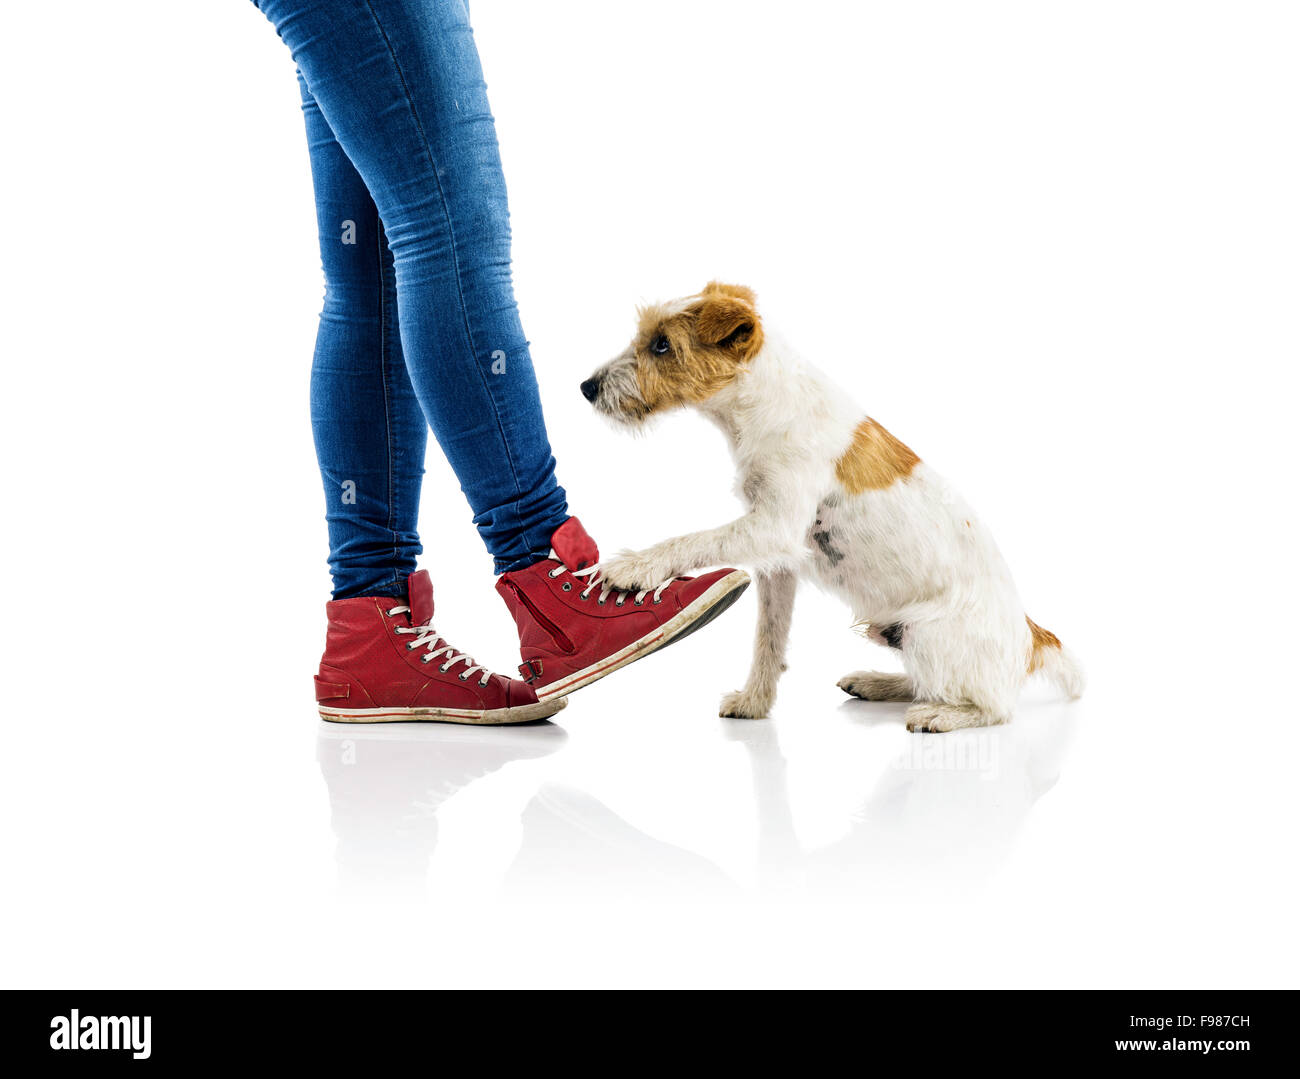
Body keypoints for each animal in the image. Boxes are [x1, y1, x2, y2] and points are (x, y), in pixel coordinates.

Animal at [585, 280, 1081, 733]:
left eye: (662, 344)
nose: (586, 387)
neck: (764, 403)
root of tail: (1033, 640)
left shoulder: (772, 526)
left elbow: (692, 539)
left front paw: (634, 567)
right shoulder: (779, 562)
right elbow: (769, 638)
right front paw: (754, 703)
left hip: (925, 633)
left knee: (993, 707)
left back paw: (940, 714)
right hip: (895, 633)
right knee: (927, 683)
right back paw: (877, 682)